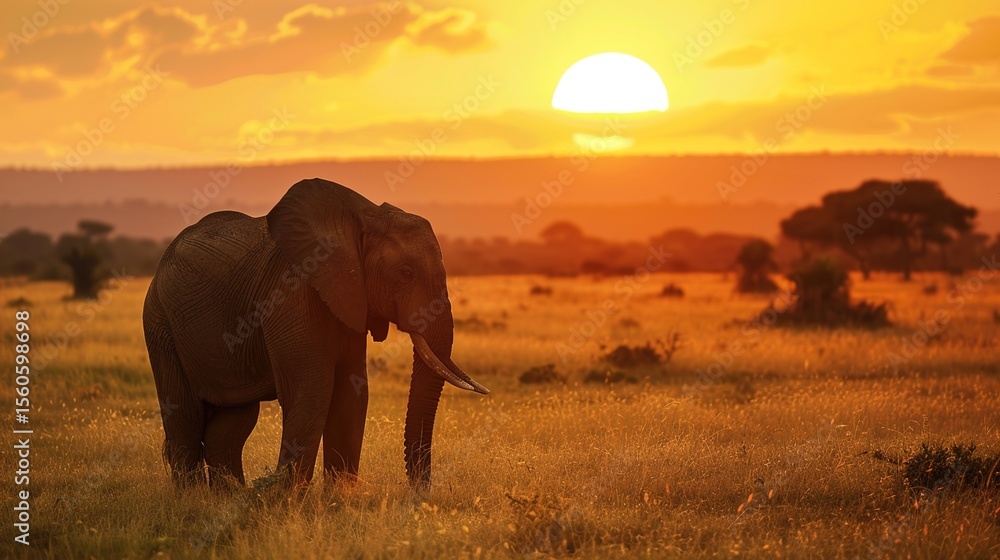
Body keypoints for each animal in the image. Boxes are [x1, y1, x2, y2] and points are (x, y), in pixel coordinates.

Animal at [142, 178, 489, 490]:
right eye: (405, 274)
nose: (418, 492)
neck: (365, 216)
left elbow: (352, 392)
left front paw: (339, 500)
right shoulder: (291, 294)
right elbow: (312, 392)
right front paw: (286, 502)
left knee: (232, 424)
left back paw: (227, 498)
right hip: (160, 323)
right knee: (185, 417)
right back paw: (195, 499)